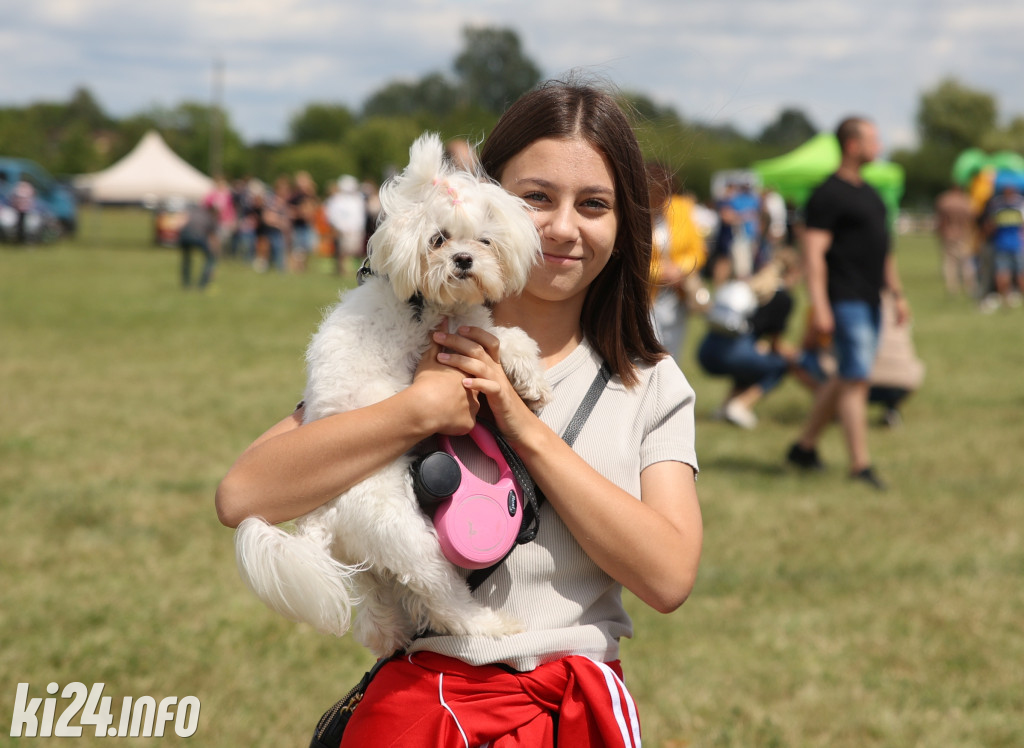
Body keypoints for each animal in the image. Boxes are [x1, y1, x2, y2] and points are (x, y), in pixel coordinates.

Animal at [234, 132, 552, 651]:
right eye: (438, 239)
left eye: (484, 240)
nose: (463, 260)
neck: (425, 301)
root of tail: (324, 518)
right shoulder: (451, 335)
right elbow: (503, 336)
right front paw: (532, 378)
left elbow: (503, 335)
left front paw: (531, 379)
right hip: (408, 533)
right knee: (443, 598)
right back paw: (489, 625)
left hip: (371, 559)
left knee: (380, 603)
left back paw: (392, 636)